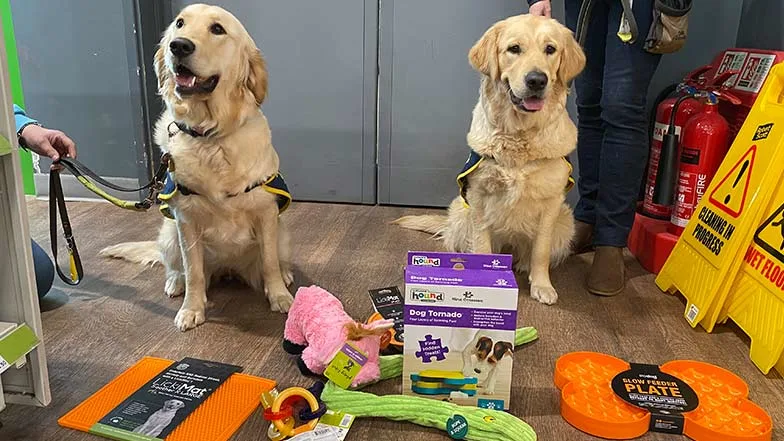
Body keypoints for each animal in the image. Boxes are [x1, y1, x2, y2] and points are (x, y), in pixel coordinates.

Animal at [99, 2, 294, 326]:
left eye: (217, 29)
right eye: (179, 23)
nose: (179, 45)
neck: (210, 135)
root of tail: (228, 270)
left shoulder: (267, 213)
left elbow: (268, 263)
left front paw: (280, 296)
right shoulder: (186, 221)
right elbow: (194, 272)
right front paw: (192, 309)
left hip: (283, 234)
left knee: (274, 259)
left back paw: (287, 275)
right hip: (169, 234)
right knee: (177, 267)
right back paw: (175, 283)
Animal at [396, 16, 584, 306]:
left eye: (550, 49)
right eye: (514, 49)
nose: (537, 80)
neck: (519, 135)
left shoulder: (552, 202)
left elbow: (540, 250)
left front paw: (542, 285)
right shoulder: (478, 196)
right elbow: (482, 244)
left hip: (565, 222)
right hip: (461, 211)